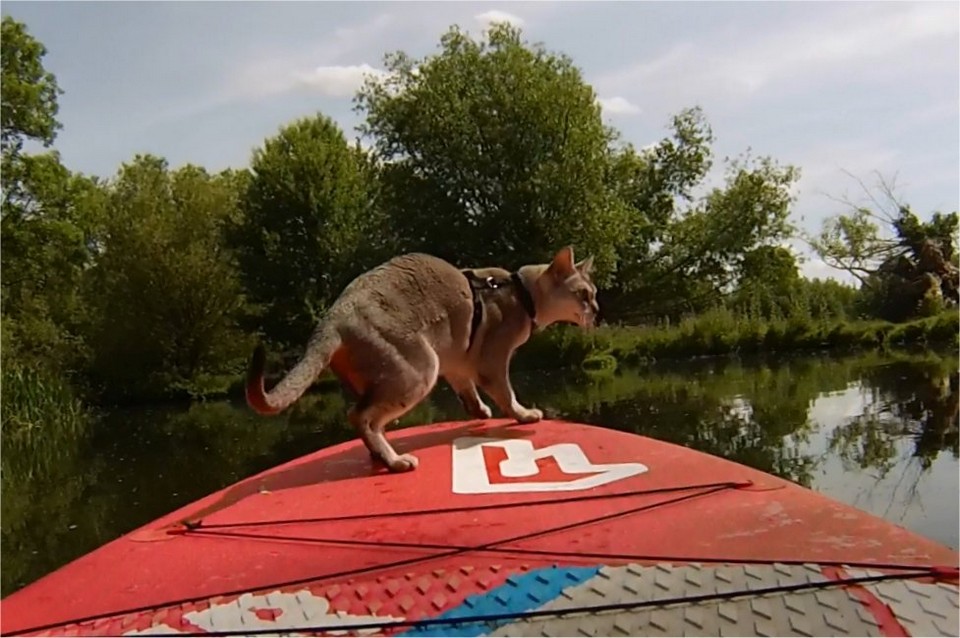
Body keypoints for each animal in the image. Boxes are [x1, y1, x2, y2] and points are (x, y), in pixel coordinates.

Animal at [244, 248, 596, 472]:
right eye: (584, 294)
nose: (597, 310)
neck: (521, 292)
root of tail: (333, 317)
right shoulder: (492, 363)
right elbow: (507, 396)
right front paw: (525, 415)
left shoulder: (457, 362)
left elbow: (469, 394)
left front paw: (480, 412)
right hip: (420, 370)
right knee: (360, 417)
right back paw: (394, 461)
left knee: (363, 416)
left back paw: (380, 456)